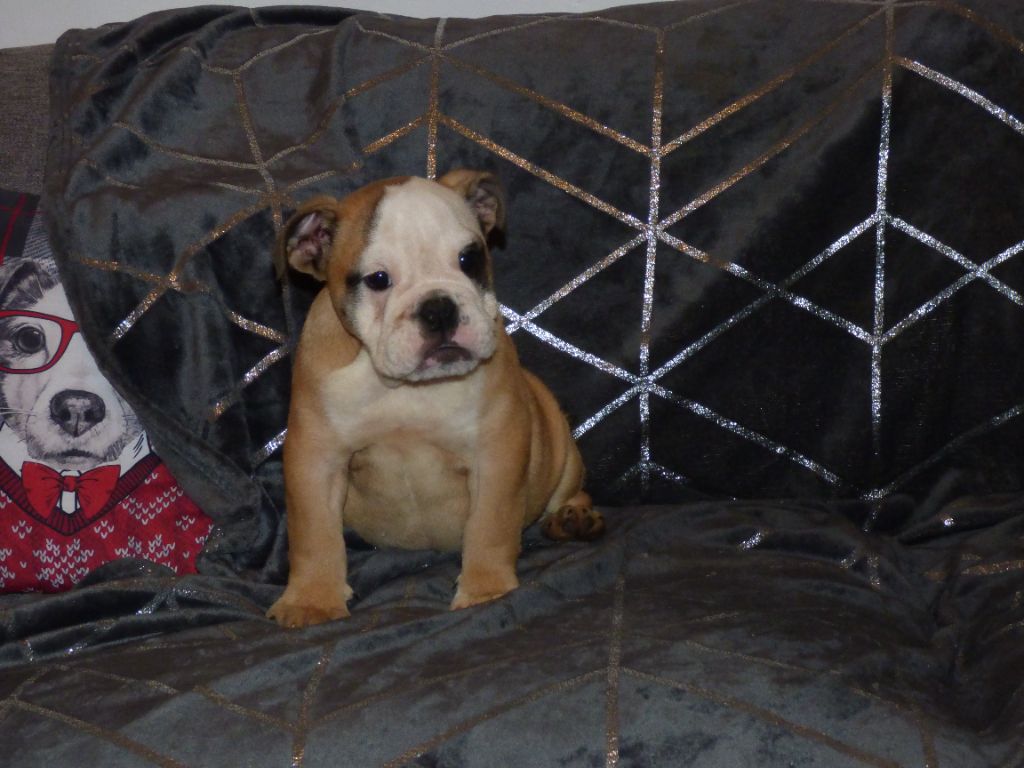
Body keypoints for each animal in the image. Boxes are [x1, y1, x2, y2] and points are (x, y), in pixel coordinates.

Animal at [267, 170, 604, 628]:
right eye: (377, 279)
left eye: (469, 259)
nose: (439, 307)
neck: (406, 388)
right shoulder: (316, 458)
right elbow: (314, 533)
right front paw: (312, 600)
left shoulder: (497, 452)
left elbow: (490, 526)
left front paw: (485, 590)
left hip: (559, 446)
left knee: (570, 489)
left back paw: (573, 520)